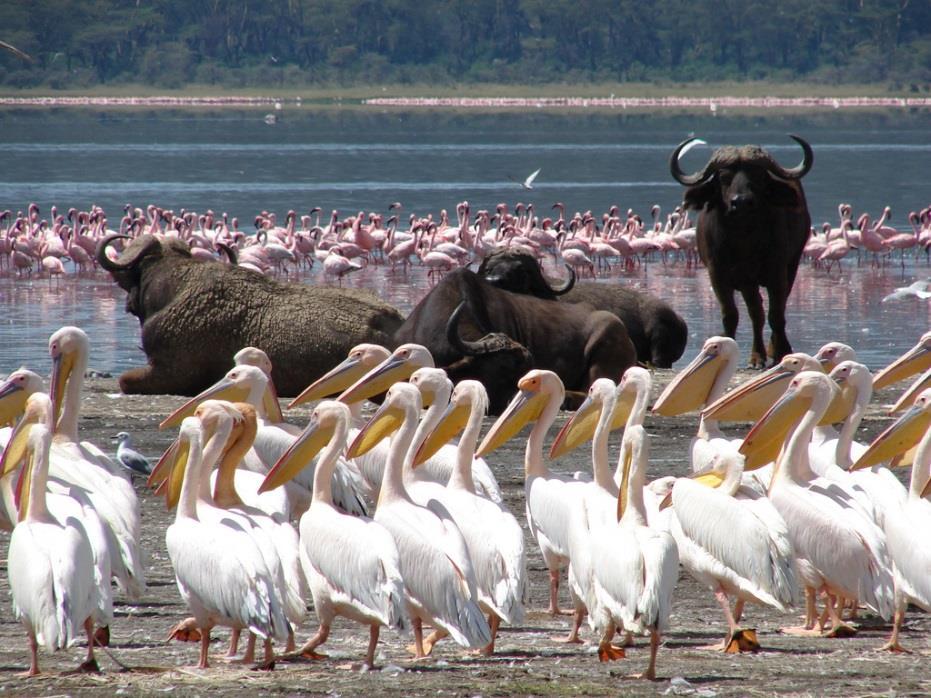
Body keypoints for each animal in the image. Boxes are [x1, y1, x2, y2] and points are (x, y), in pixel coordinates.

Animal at [668, 133, 816, 368]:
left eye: (758, 175)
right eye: (723, 176)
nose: (742, 202)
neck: (743, 241)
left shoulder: (777, 271)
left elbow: (776, 314)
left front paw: (781, 351)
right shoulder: (719, 274)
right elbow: (732, 314)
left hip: (791, 265)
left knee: (776, 308)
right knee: (756, 312)